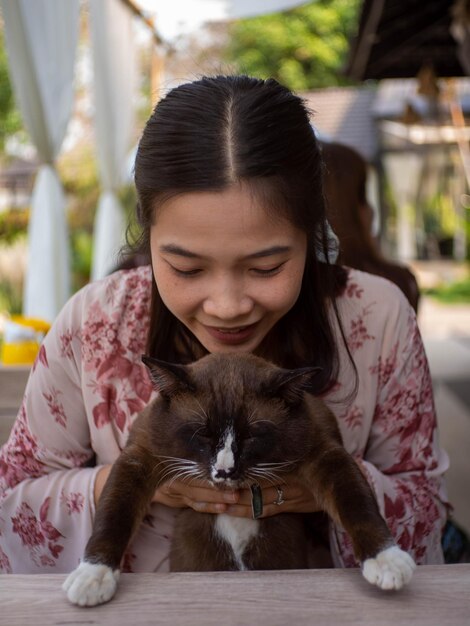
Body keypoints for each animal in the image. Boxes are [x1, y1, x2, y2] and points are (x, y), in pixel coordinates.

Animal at [63, 354, 414, 604]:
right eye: (203, 434)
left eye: (252, 436)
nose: (225, 470)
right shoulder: (139, 457)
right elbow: (114, 515)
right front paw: (92, 576)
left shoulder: (327, 455)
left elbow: (358, 503)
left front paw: (387, 560)